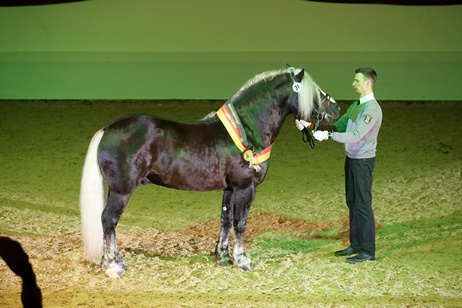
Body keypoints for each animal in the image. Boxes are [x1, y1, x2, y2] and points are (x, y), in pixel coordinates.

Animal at [79, 66, 340, 278]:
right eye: (315, 93)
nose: (337, 109)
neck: (247, 130)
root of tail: (108, 129)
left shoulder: (229, 189)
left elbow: (225, 220)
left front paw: (223, 256)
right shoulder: (245, 188)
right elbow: (240, 223)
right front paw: (242, 260)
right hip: (122, 191)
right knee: (109, 221)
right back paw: (113, 266)